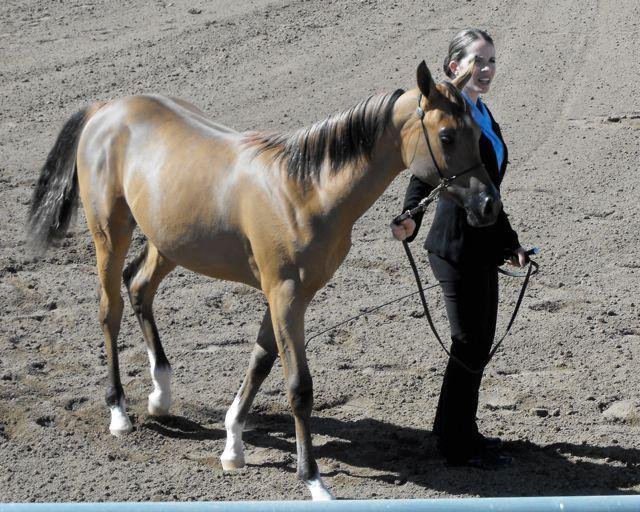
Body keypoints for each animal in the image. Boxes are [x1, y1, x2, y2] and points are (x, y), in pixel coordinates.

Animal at [27, 61, 501, 500]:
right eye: (446, 136)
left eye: (478, 133)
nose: (488, 207)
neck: (304, 191)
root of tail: (107, 109)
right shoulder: (285, 294)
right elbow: (298, 387)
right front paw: (313, 480)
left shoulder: (289, 295)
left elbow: (260, 361)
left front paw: (233, 446)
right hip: (110, 232)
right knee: (110, 310)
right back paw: (119, 412)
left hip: (170, 241)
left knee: (140, 286)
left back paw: (161, 395)